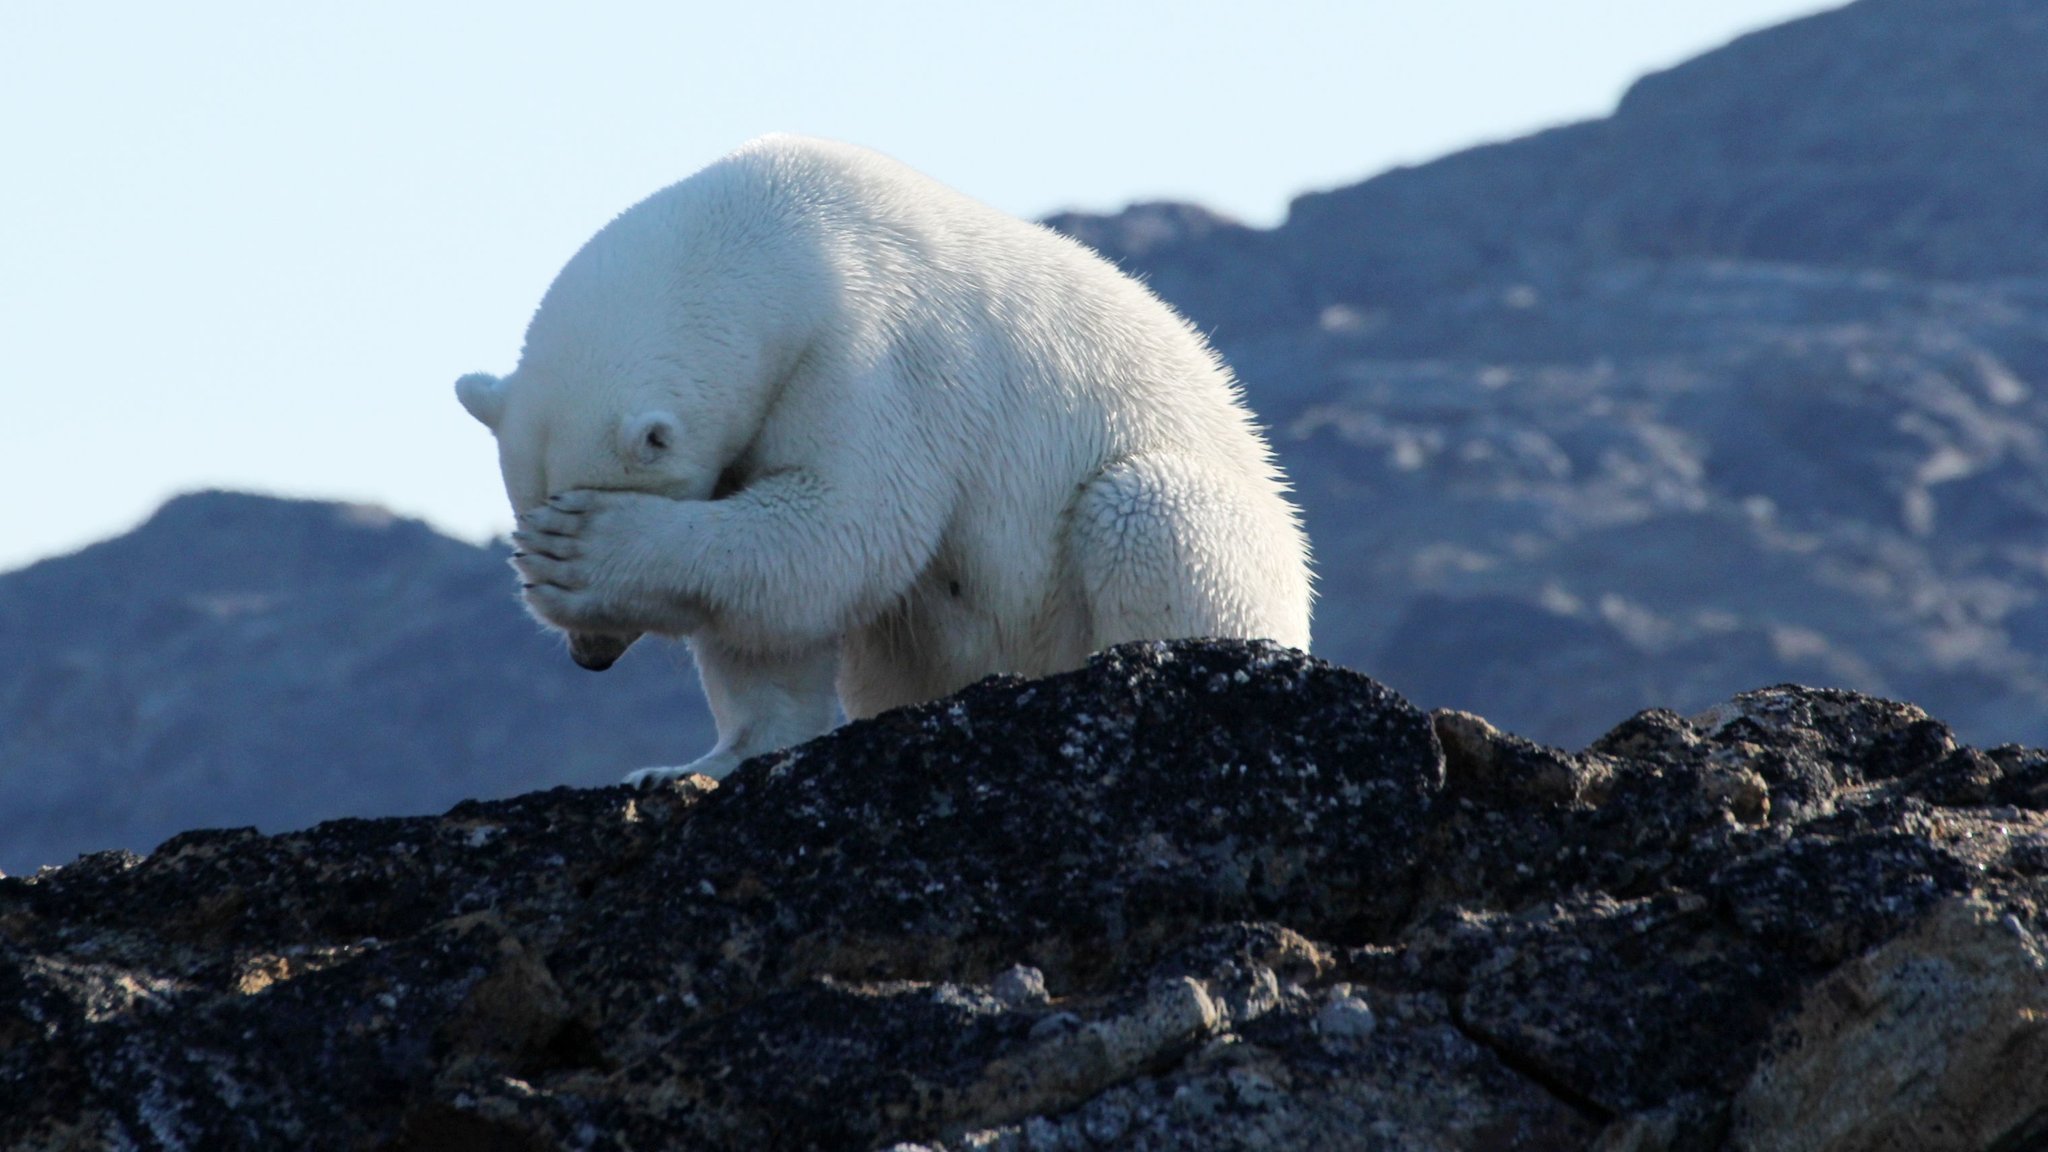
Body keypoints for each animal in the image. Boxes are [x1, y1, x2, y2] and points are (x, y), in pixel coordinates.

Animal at [456, 132, 1310, 778]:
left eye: (570, 502)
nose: (591, 656)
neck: (777, 234)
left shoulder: (875, 353)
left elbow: (845, 530)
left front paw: (582, 552)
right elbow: (768, 619)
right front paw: (691, 765)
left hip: (1218, 535)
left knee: (1141, 513)